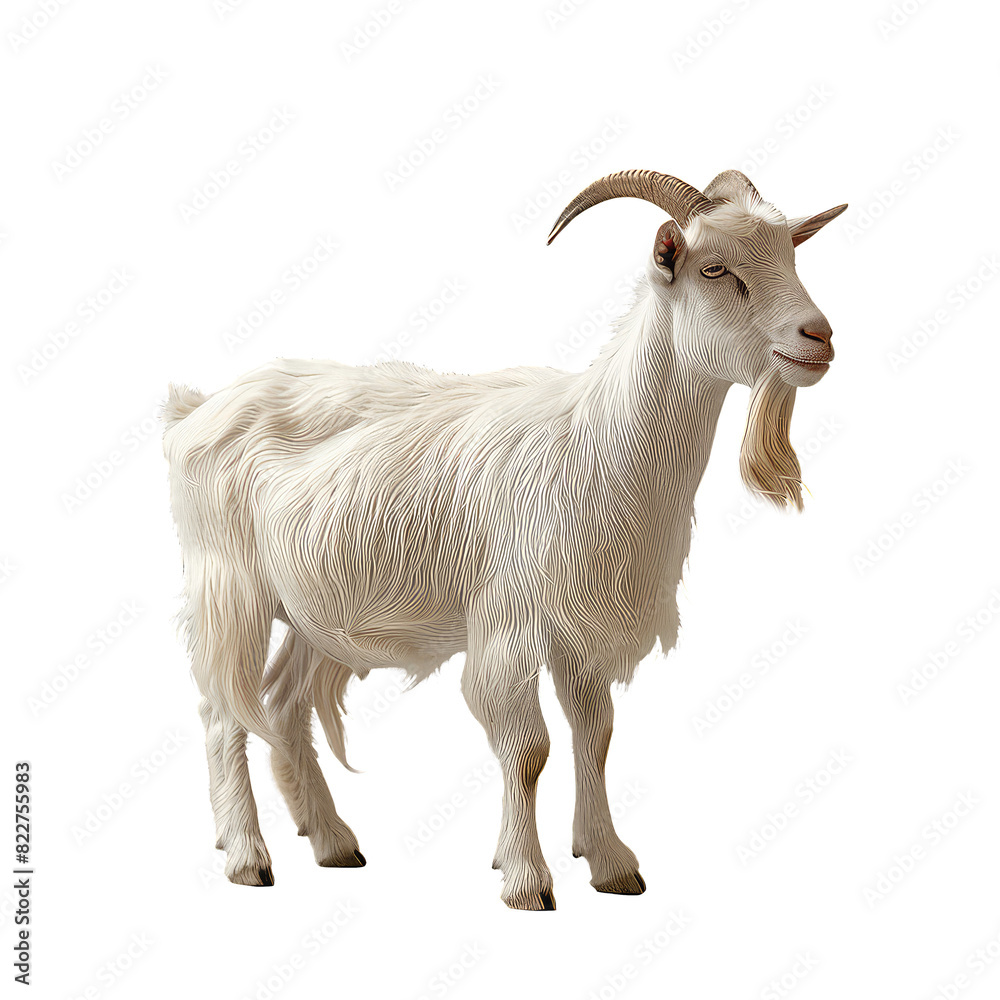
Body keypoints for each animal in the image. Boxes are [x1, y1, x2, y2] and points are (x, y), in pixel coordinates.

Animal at [163, 168, 845, 910]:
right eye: (715, 268)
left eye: (792, 257)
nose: (818, 336)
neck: (596, 444)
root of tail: (196, 410)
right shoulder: (508, 620)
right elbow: (527, 750)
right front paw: (526, 878)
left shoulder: (582, 631)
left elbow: (595, 737)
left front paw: (610, 863)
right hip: (228, 585)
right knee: (222, 710)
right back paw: (247, 856)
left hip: (317, 609)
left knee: (284, 707)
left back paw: (334, 843)